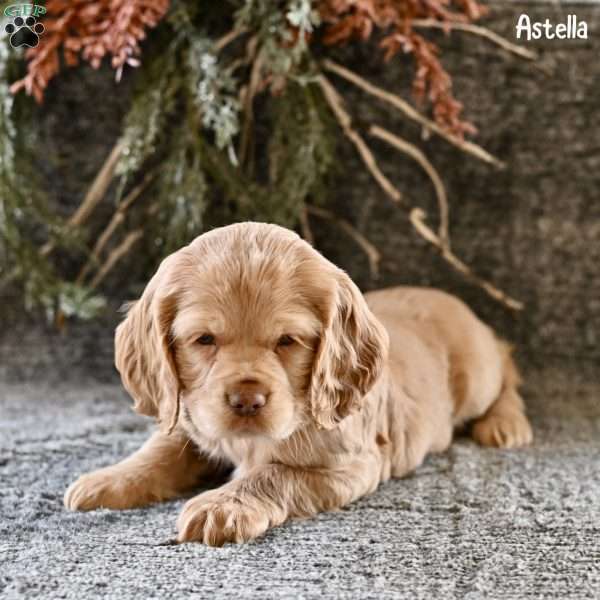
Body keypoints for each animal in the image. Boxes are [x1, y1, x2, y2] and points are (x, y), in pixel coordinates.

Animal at [65, 223, 536, 548]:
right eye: (204, 340)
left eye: (288, 341)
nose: (247, 400)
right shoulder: (192, 420)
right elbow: (161, 448)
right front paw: (107, 480)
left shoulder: (351, 465)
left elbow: (275, 473)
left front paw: (222, 505)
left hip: (479, 372)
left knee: (508, 360)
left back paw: (506, 424)